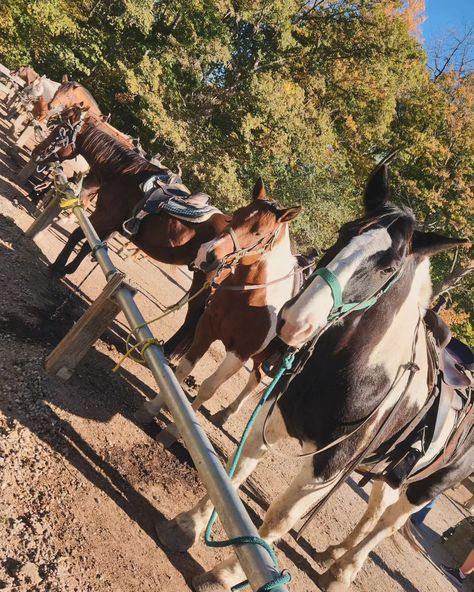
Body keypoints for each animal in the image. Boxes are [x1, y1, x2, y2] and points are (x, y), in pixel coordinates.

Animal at [135, 178, 302, 432]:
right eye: (236, 215)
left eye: (258, 232)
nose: (207, 254)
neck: (250, 296)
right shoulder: (207, 329)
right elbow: (183, 369)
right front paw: (152, 408)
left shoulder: (238, 354)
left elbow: (208, 388)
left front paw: (174, 429)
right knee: (254, 378)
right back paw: (224, 414)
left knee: (254, 383)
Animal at [155, 163, 470, 592]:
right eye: (345, 232)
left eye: (389, 267)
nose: (296, 320)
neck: (353, 374)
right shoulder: (269, 416)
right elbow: (232, 475)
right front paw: (188, 524)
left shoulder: (326, 469)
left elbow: (279, 518)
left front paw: (225, 574)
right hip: (392, 473)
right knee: (375, 511)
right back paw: (336, 555)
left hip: (426, 487)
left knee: (388, 525)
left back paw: (345, 569)